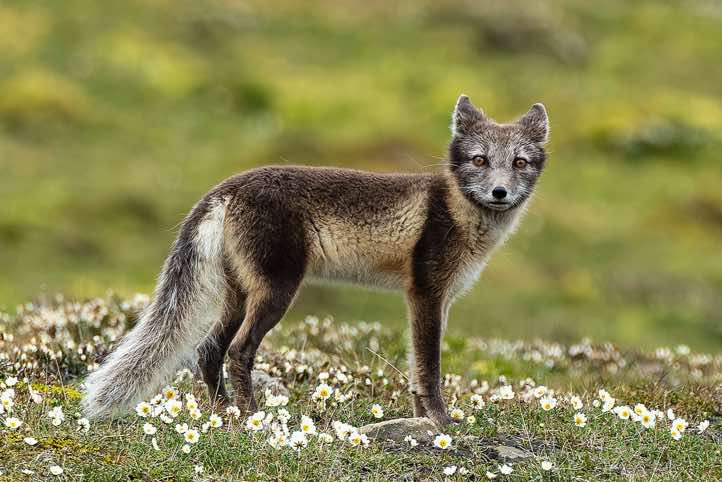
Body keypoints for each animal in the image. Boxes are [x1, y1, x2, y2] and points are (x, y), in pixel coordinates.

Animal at [83, 95, 549, 426]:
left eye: (519, 162)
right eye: (479, 160)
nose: (500, 192)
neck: (456, 209)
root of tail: (226, 186)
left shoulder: (436, 299)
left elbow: (418, 370)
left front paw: (422, 423)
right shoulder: (425, 293)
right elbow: (429, 368)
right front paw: (440, 423)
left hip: (239, 294)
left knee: (208, 350)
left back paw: (222, 416)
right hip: (277, 290)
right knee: (238, 350)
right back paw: (252, 418)